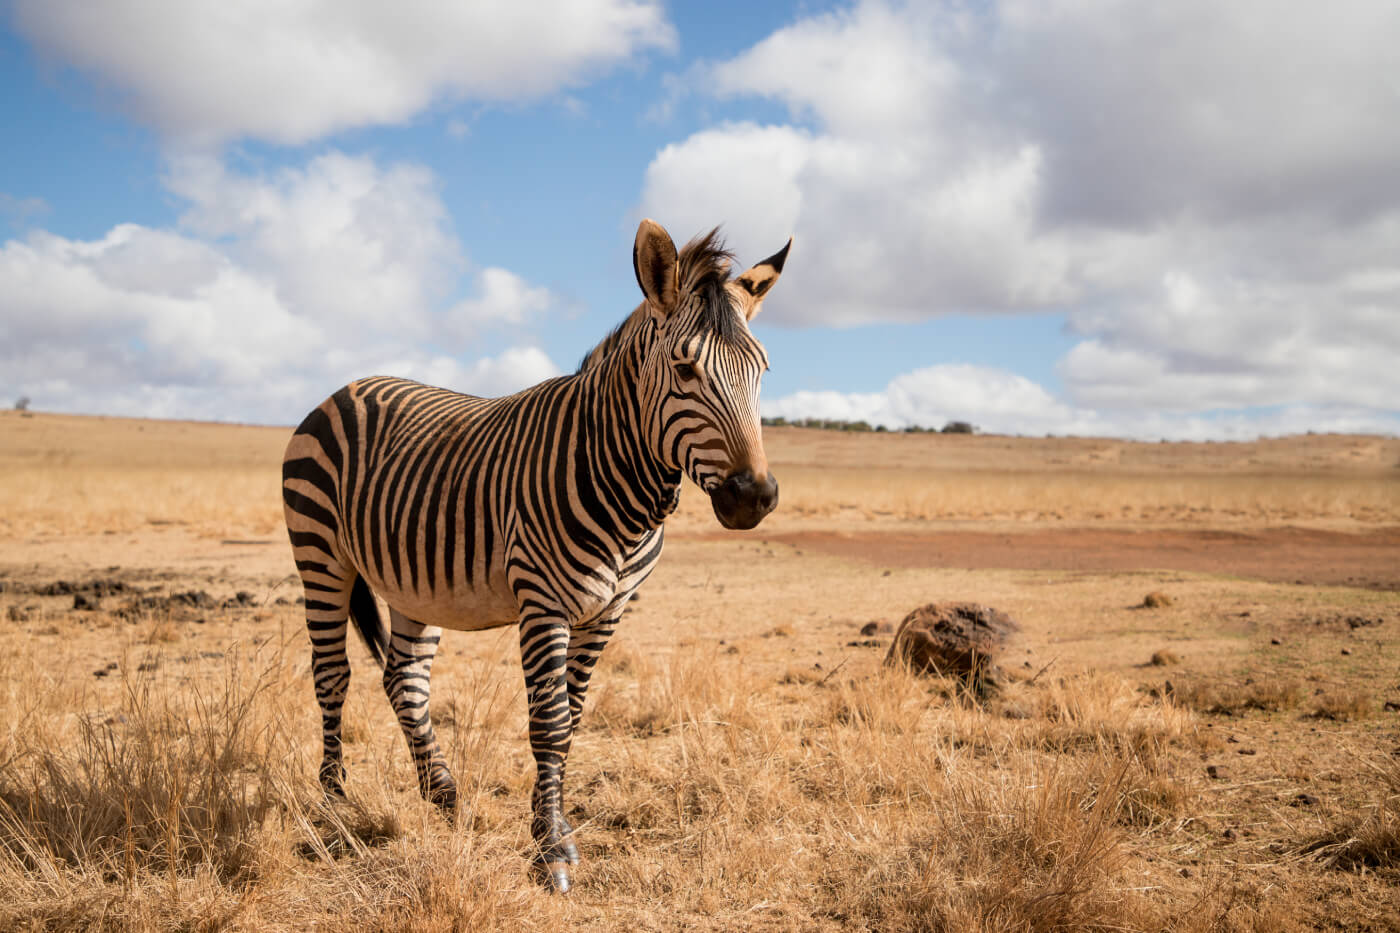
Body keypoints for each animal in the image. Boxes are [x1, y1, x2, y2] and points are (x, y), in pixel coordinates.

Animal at [281, 215, 789, 885]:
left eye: (761, 372)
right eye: (685, 371)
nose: (753, 498)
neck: (615, 473)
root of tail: (349, 386)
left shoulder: (608, 611)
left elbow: (571, 719)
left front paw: (553, 825)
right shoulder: (543, 602)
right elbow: (548, 723)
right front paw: (551, 849)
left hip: (413, 583)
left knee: (403, 677)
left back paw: (442, 793)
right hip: (319, 552)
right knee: (332, 674)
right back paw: (335, 805)